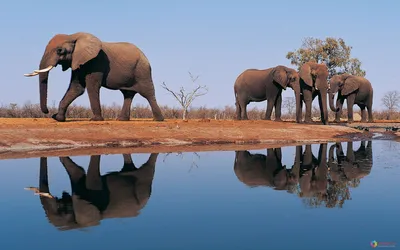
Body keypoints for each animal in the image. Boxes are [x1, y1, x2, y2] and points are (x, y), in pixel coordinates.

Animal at [23, 32, 164, 122]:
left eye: (60, 51)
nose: (47, 112)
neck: (73, 36)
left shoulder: (96, 62)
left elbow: (91, 87)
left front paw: (95, 120)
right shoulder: (78, 62)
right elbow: (76, 88)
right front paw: (58, 119)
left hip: (142, 71)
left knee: (148, 93)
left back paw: (158, 120)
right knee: (127, 94)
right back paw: (121, 120)